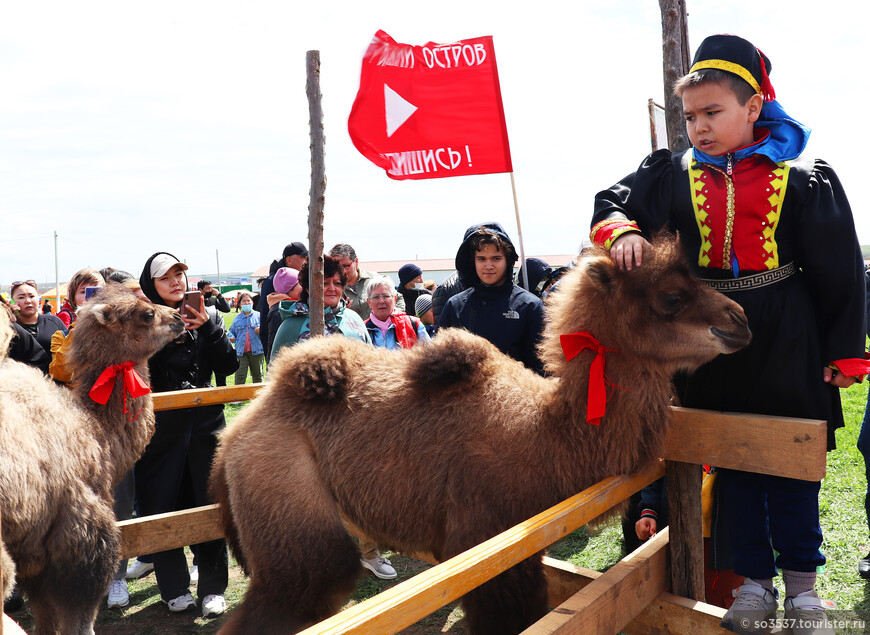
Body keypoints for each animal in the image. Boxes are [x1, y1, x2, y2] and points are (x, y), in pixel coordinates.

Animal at [0, 286, 184, 632]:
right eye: (147, 314)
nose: (179, 316)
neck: (95, 431)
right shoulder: (81, 537)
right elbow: (81, 620)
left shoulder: (35, 553)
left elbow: (45, 620)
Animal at [213, 236, 756, 632]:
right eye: (671, 297)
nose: (740, 321)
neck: (545, 435)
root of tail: (236, 433)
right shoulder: (484, 543)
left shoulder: (518, 550)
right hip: (288, 504)